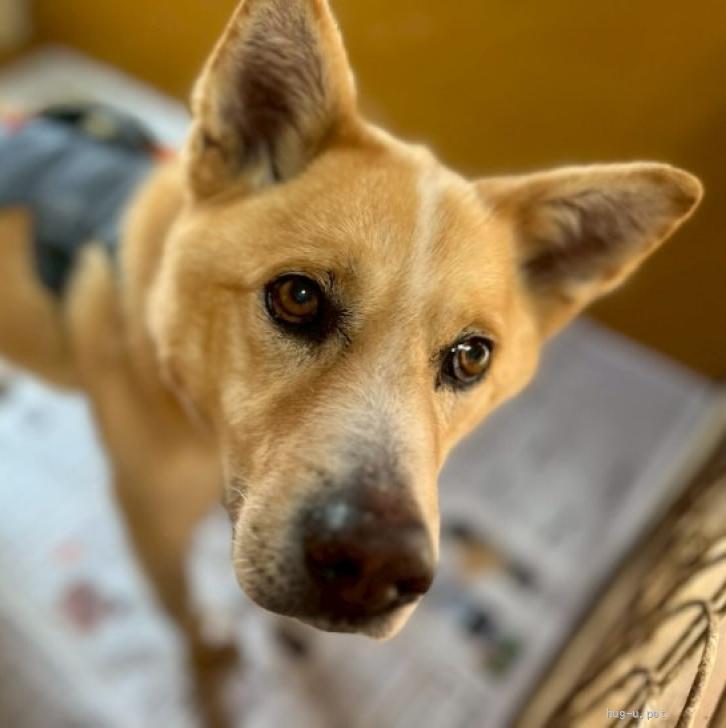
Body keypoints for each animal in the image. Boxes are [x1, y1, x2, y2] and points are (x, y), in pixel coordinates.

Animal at [0, 0, 703, 722]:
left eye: (471, 356)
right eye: (298, 297)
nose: (375, 570)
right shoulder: (149, 523)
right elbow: (184, 614)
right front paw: (207, 673)